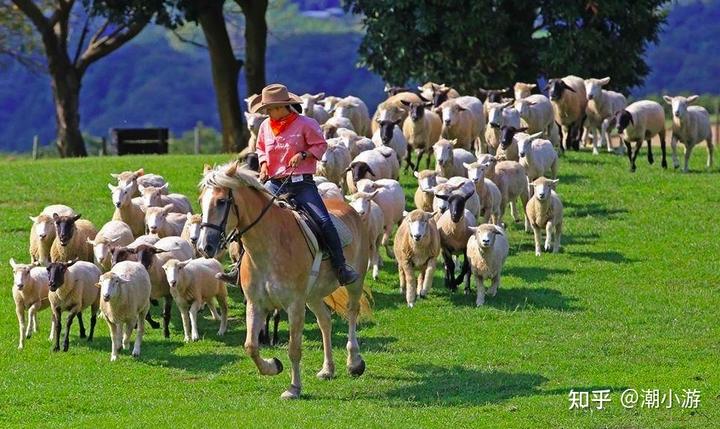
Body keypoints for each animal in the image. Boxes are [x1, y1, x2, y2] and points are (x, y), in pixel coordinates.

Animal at [197, 160, 372, 398]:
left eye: (221, 201)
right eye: (201, 201)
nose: (205, 246)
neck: (268, 247)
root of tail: (350, 209)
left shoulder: (294, 304)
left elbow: (294, 348)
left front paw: (294, 388)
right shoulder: (256, 303)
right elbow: (250, 346)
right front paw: (273, 365)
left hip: (354, 282)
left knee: (352, 313)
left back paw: (354, 362)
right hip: (313, 296)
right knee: (325, 321)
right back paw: (327, 369)